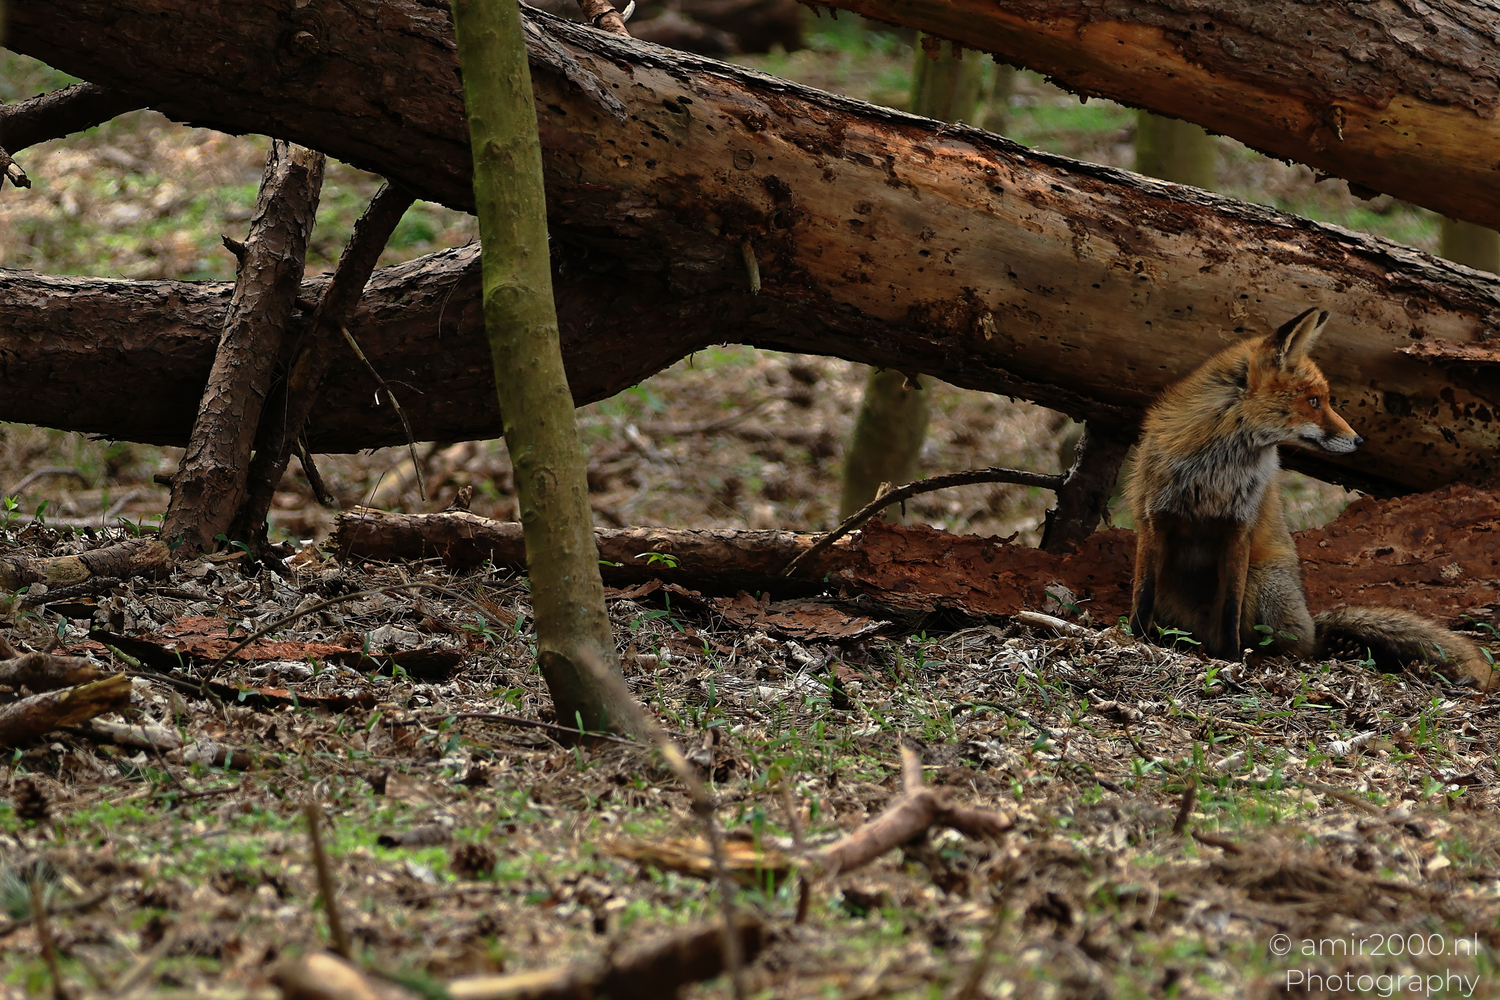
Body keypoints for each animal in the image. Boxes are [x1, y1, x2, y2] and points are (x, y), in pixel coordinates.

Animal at [1126, 307, 1495, 690]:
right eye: (1314, 401)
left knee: (1302, 646)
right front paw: (1136, 640)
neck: (1218, 470)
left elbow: (1229, 610)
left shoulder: (1239, 526)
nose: (1359, 440)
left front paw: (1228, 658)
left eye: (1324, 400)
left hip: (1263, 584)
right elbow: (1142, 594)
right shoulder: (1156, 517)